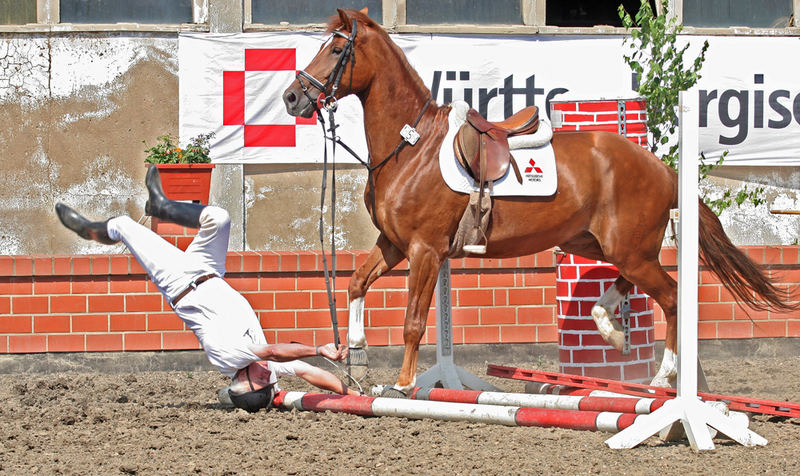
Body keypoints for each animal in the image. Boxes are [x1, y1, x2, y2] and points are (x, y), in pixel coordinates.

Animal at [284, 9, 796, 396]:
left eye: (336, 50)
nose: (292, 97)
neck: (411, 145)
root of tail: (661, 167)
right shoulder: (393, 245)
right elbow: (355, 282)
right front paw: (356, 353)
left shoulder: (425, 251)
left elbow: (413, 321)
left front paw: (404, 384)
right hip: (602, 245)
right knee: (632, 287)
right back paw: (613, 331)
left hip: (628, 249)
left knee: (671, 297)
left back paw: (661, 375)